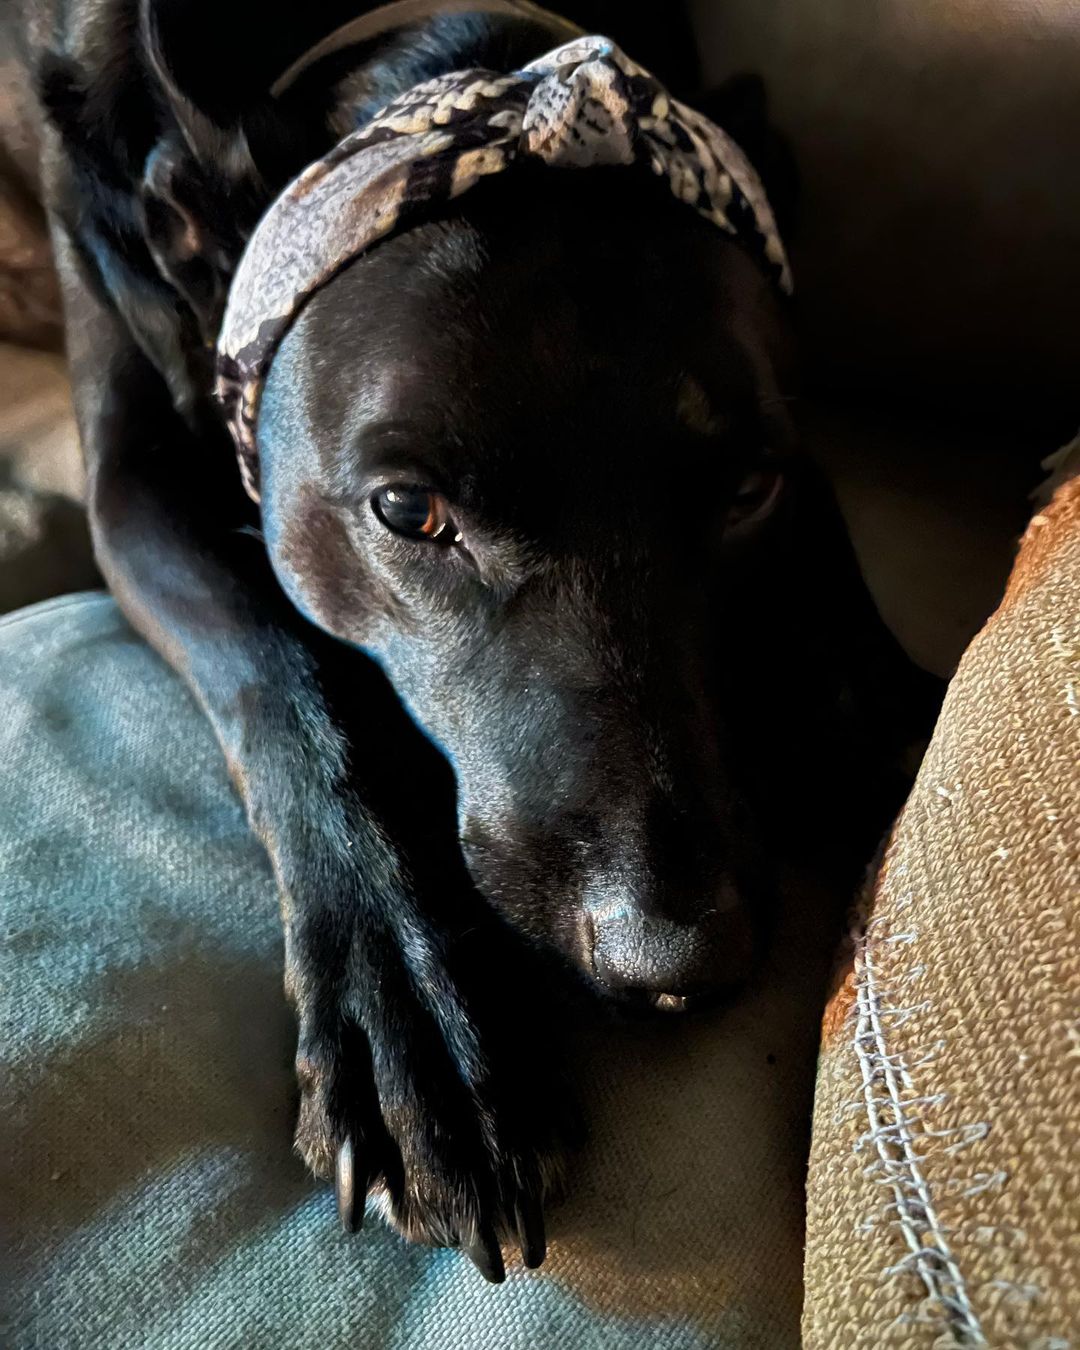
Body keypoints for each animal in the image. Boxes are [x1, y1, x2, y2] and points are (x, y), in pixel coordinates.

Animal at [7, 0, 940, 1280]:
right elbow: (289, 676)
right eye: (408, 511)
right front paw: (424, 1019)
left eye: (748, 488)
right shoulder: (130, 483)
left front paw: (901, 726)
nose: (679, 962)